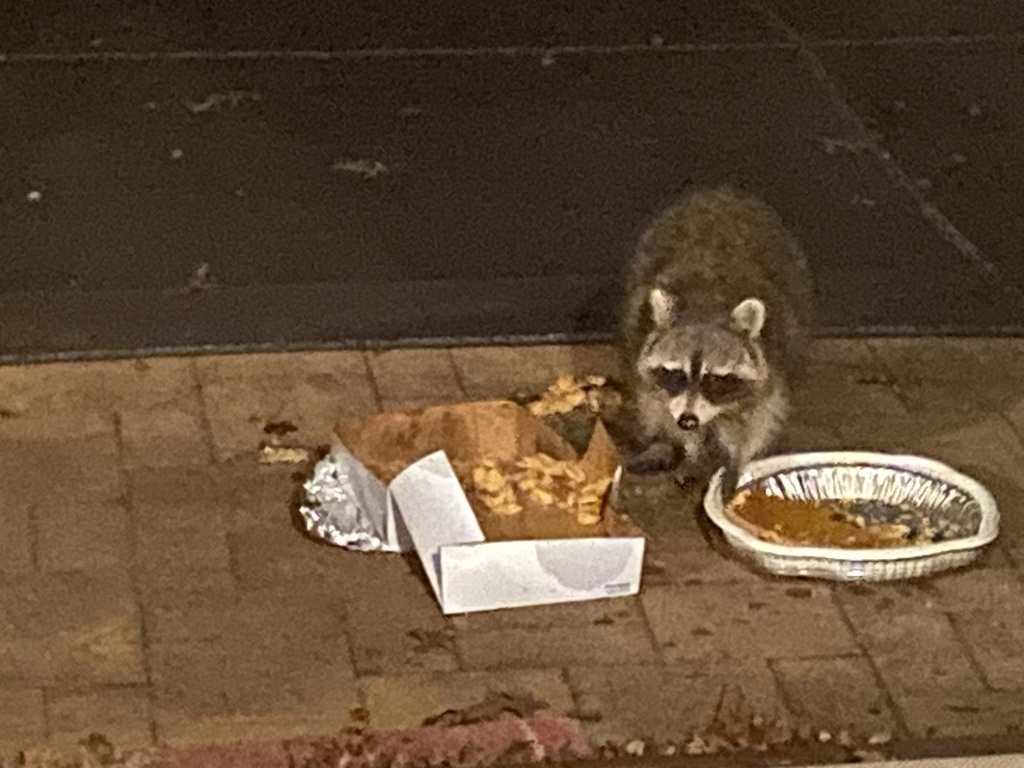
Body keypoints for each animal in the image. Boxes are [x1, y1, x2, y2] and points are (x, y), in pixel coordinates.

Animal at [617, 185, 814, 491]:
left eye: (715, 379)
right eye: (675, 373)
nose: (688, 421)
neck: (706, 308)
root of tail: (724, 192)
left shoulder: (774, 365)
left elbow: (757, 420)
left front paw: (737, 461)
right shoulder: (646, 354)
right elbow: (662, 407)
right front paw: (688, 450)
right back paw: (661, 444)